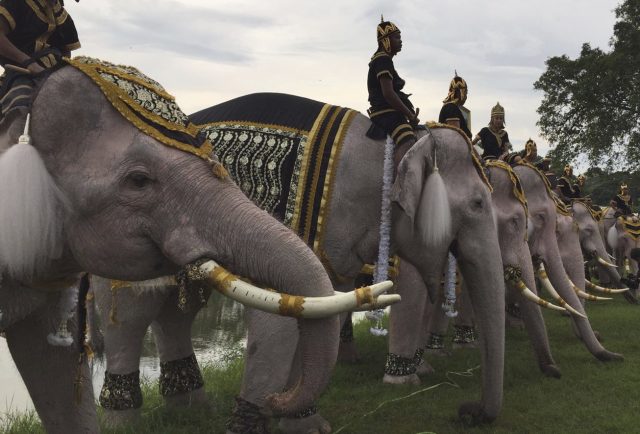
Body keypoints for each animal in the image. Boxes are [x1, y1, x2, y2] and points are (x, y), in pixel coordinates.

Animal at [1, 59, 384, 432]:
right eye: (138, 181)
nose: (276, 401)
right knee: (130, 318)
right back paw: (128, 422)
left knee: (176, 315)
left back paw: (192, 409)